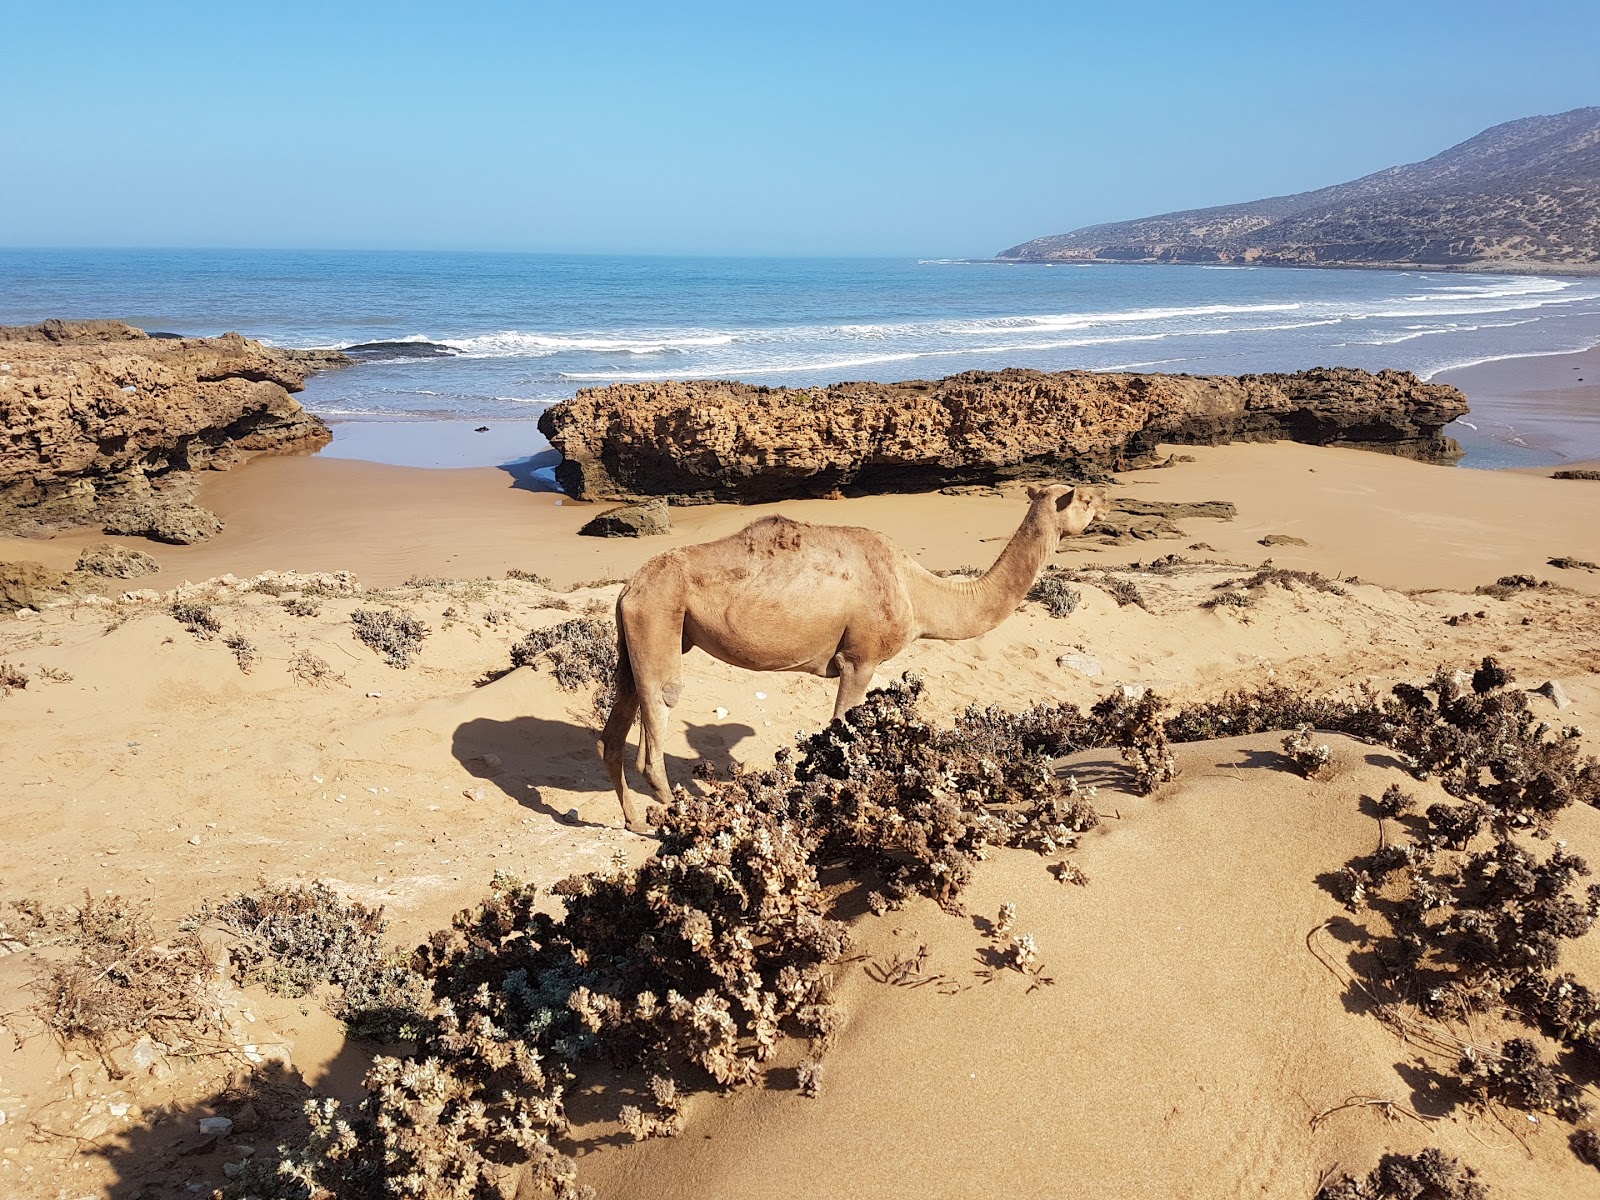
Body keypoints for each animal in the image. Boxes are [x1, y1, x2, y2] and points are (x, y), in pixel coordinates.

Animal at [595, 483, 1107, 832]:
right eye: (1082, 498)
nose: (1103, 500)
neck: (918, 591)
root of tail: (627, 588)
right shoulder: (860, 659)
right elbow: (842, 728)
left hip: (635, 636)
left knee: (614, 731)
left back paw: (635, 821)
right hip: (659, 616)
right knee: (661, 708)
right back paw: (679, 814)